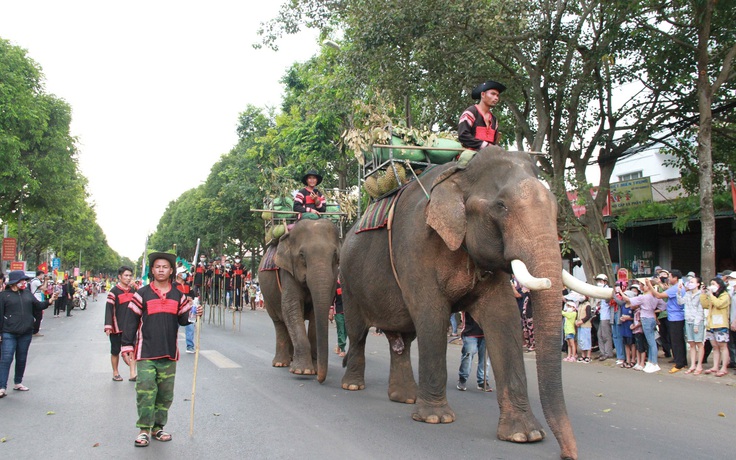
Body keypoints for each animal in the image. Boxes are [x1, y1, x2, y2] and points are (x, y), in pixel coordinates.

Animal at [258, 217, 340, 382]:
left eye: (335, 255)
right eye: (302, 255)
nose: (320, 379)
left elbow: (316, 312)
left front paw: (314, 369)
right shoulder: (287, 271)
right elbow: (291, 306)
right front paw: (303, 371)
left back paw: (290, 359)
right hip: (267, 297)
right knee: (279, 322)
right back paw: (281, 363)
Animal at [342, 146, 612, 460]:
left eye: (556, 208)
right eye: (501, 206)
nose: (568, 454)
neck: (460, 174)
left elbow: (505, 318)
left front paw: (525, 435)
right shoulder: (413, 244)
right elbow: (431, 315)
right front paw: (435, 418)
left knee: (402, 339)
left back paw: (405, 398)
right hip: (348, 281)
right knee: (358, 332)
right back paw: (353, 385)